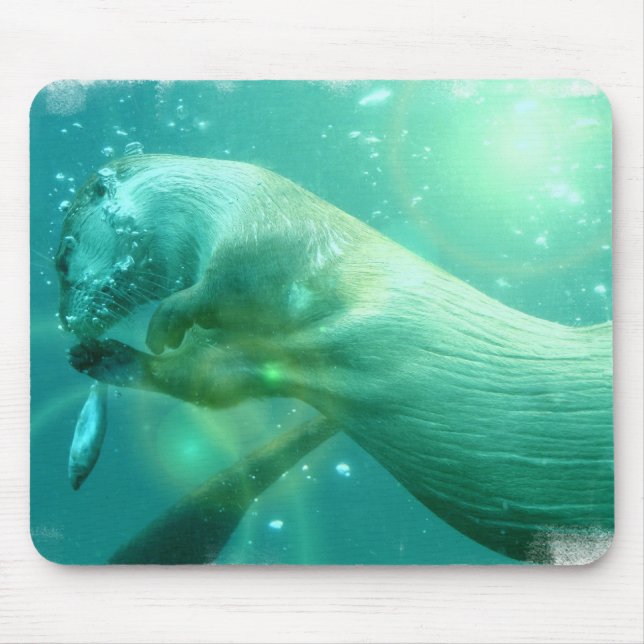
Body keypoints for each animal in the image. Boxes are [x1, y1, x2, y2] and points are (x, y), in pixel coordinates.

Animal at [56, 154, 613, 563]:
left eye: (62, 259)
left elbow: (213, 294)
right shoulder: (258, 350)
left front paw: (160, 327)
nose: (65, 319)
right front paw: (101, 356)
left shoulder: (261, 247)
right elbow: (208, 381)